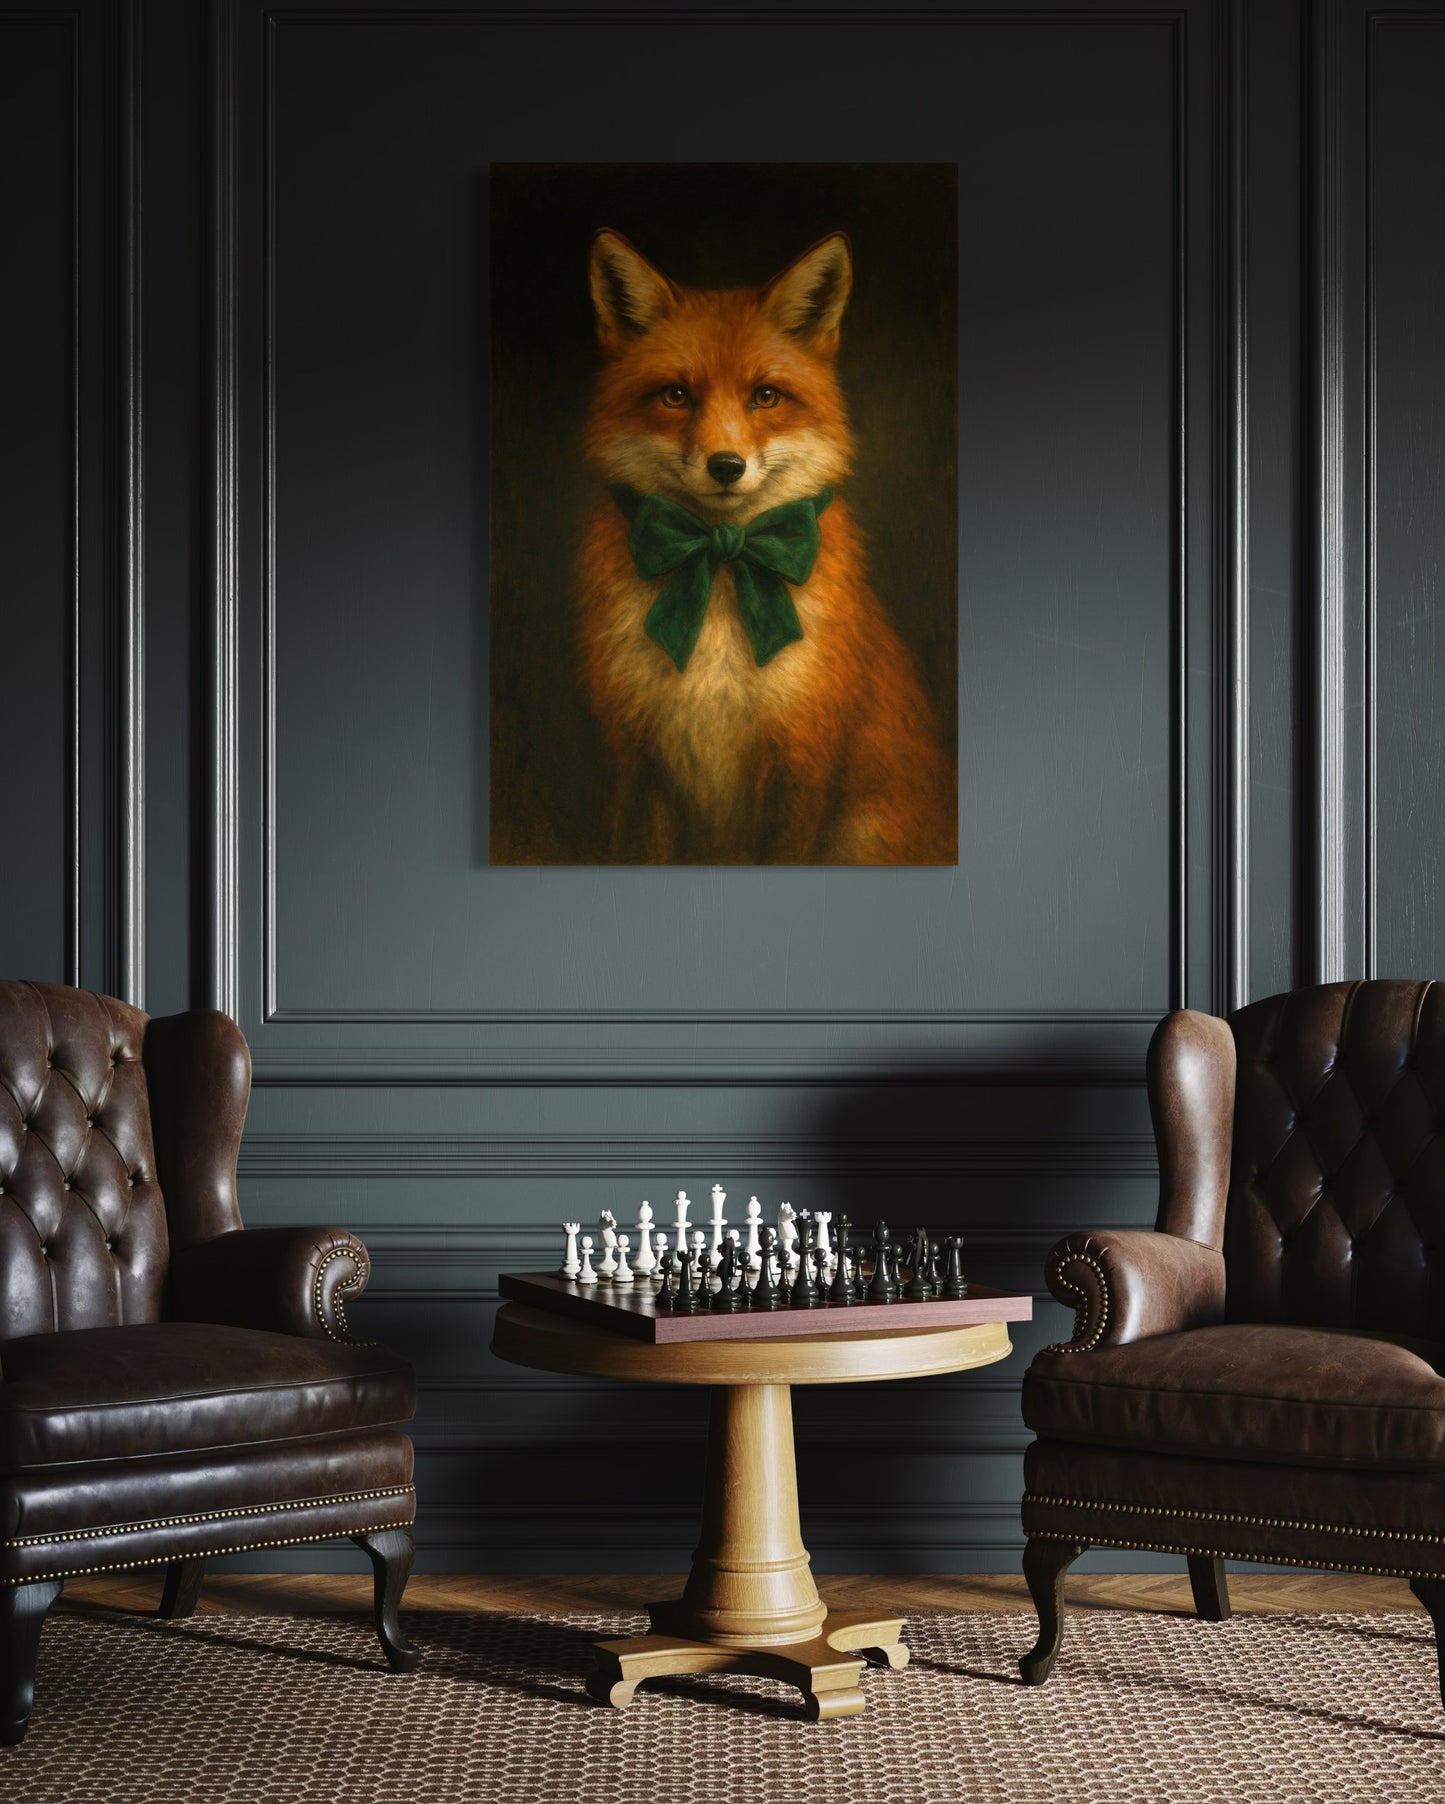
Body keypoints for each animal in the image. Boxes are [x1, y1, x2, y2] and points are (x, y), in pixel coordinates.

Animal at [577, 228, 956, 865]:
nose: (726, 466)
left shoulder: (802, 758)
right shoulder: (639, 756)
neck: (721, 560)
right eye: (676, 395)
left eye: (766, 396)